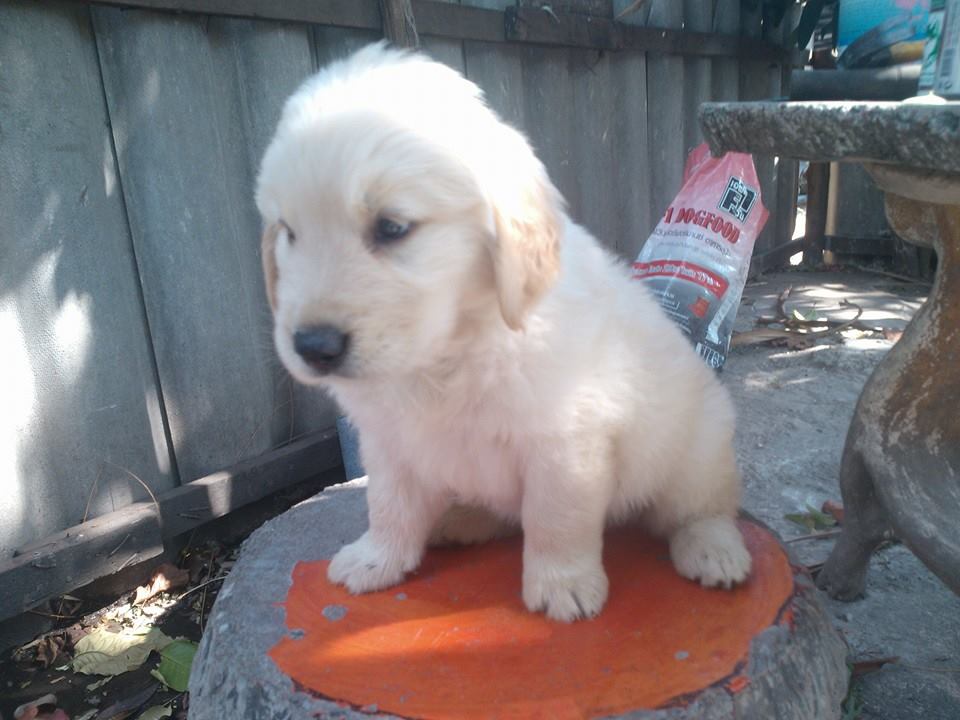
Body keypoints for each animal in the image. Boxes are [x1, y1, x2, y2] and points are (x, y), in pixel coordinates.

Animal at [256, 43, 751, 622]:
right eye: (289, 233)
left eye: (392, 227)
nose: (313, 347)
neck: (446, 351)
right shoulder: (389, 441)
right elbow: (389, 505)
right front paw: (377, 558)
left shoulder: (565, 441)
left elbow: (556, 518)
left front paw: (563, 583)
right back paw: (462, 519)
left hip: (697, 447)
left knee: (705, 506)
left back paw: (714, 549)